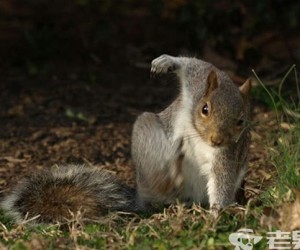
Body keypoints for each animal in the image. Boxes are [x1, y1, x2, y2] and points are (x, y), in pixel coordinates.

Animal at [0, 54, 251, 223]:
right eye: (205, 109)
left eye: (241, 120)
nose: (217, 140)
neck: (199, 134)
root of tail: (139, 200)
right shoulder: (196, 82)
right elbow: (192, 64)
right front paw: (166, 62)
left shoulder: (227, 154)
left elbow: (222, 180)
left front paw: (217, 214)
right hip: (146, 132)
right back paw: (166, 179)